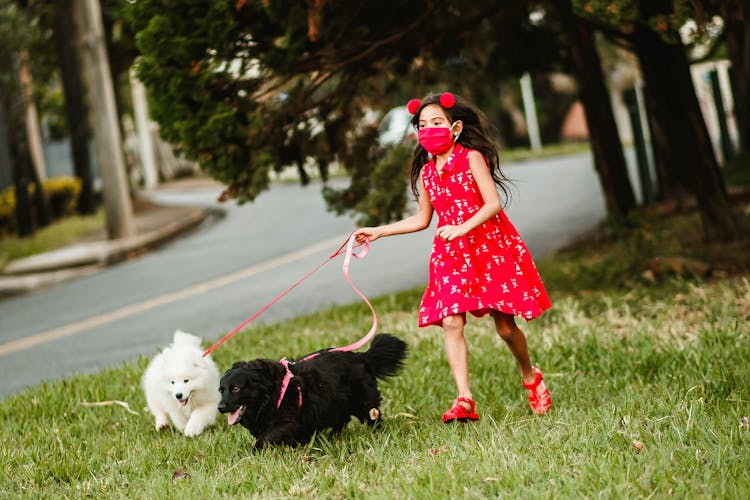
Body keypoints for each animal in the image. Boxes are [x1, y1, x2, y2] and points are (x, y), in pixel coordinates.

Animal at [219, 332, 406, 450]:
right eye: (221, 390)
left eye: (235, 388)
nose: (220, 407)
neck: (272, 392)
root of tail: (361, 356)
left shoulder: (289, 422)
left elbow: (264, 438)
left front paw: (253, 451)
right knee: (342, 419)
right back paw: (332, 437)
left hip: (363, 403)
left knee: (374, 416)